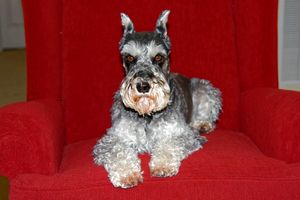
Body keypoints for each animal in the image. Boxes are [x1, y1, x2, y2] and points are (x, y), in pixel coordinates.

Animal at [92, 10, 221, 189]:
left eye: (159, 57)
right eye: (129, 58)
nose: (143, 86)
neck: (147, 116)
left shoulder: (184, 135)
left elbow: (169, 144)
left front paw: (162, 165)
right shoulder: (112, 139)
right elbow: (118, 151)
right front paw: (127, 175)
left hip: (205, 90)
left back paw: (202, 124)